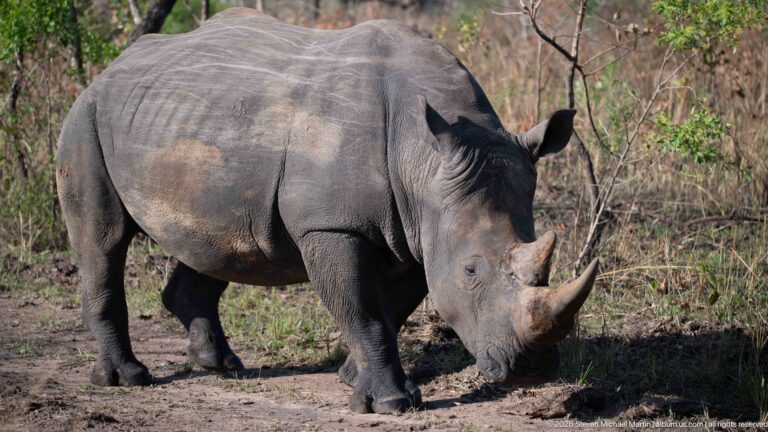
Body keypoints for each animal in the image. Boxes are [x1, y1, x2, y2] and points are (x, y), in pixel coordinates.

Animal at [56, 8, 598, 414]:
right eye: (471, 271)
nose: (532, 370)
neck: (424, 161)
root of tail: (111, 68)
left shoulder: (422, 227)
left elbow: (391, 307)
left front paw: (352, 378)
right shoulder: (334, 225)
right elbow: (364, 308)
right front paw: (391, 403)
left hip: (191, 122)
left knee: (215, 240)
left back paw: (221, 365)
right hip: (86, 116)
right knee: (103, 240)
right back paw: (127, 380)